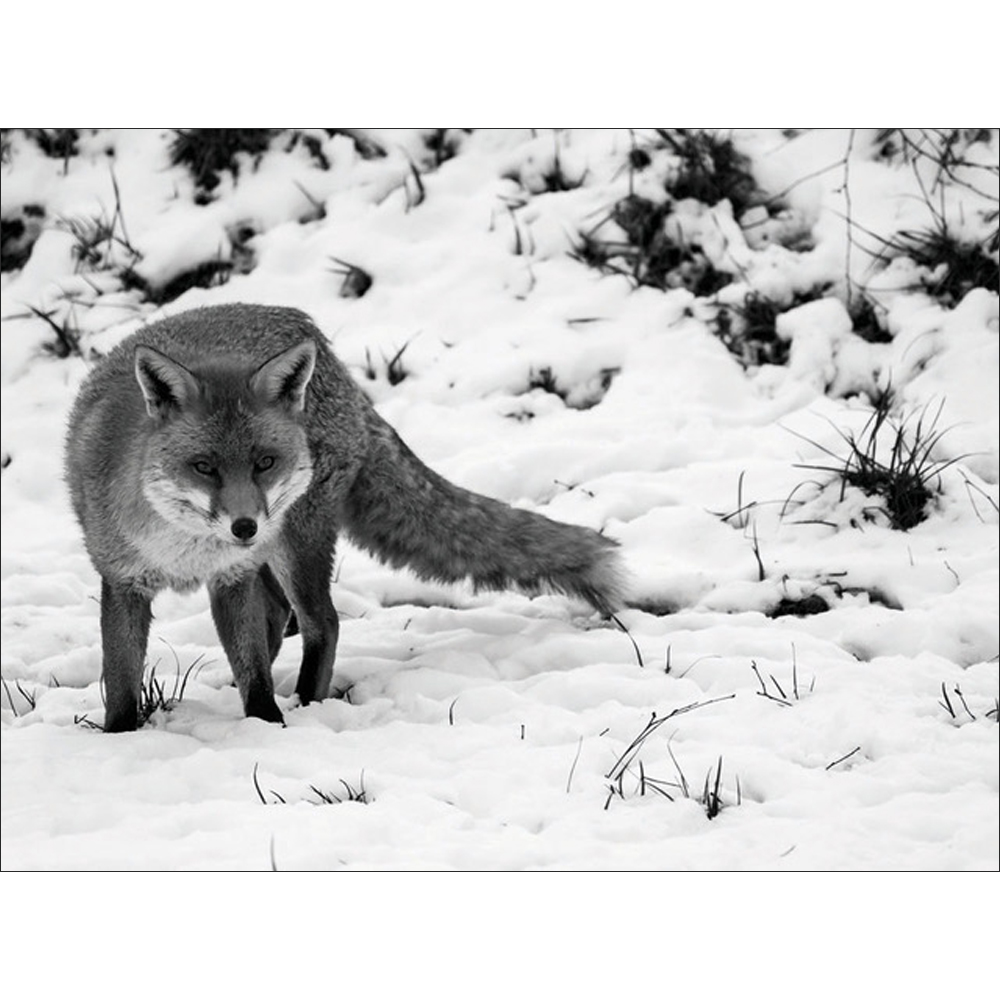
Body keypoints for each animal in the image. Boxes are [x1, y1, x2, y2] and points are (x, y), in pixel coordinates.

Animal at [65, 303, 625, 732]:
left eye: (264, 462)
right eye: (203, 467)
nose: (244, 527)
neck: (185, 550)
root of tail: (329, 353)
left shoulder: (232, 576)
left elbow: (255, 671)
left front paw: (265, 725)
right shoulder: (125, 580)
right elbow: (122, 681)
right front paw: (120, 737)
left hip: (295, 541)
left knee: (322, 623)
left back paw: (306, 703)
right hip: (273, 555)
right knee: (279, 616)